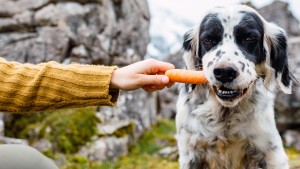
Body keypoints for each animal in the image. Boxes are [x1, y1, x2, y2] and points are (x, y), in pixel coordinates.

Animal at [176, 4, 292, 168]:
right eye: (209, 39)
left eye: (249, 38)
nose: (224, 72)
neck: (225, 114)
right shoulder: (190, 153)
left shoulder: (272, 153)